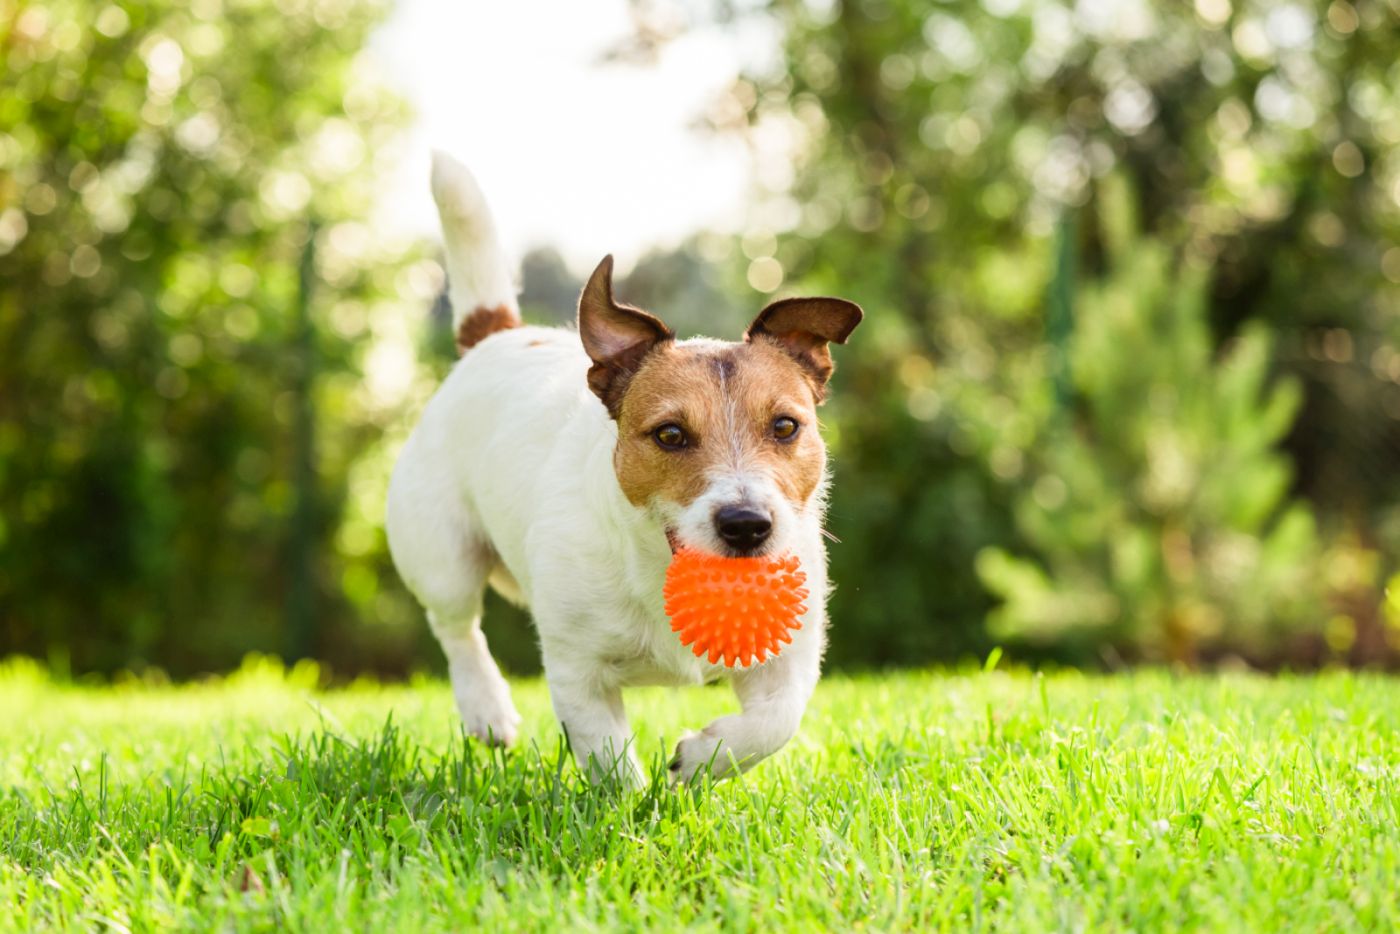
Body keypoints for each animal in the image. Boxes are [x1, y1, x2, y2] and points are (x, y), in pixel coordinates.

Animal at [386, 155, 862, 789]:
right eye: (670, 434)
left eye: (786, 426)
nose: (746, 524)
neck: (656, 565)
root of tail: (496, 336)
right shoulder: (577, 670)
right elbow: (609, 758)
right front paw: (637, 806)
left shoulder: (790, 657)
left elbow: (774, 722)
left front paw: (702, 758)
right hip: (442, 556)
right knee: (458, 629)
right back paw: (487, 708)